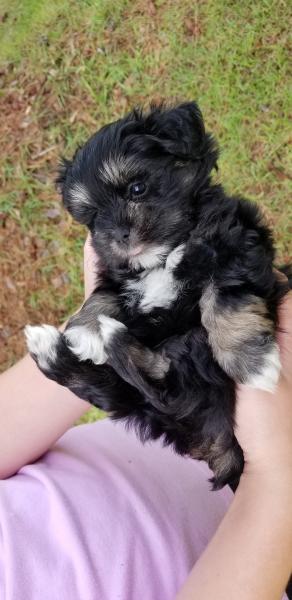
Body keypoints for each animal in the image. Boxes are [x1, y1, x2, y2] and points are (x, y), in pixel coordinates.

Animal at [25, 102, 290, 488]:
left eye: (137, 188)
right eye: (93, 215)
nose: (119, 235)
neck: (161, 258)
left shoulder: (235, 239)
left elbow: (225, 296)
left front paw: (250, 360)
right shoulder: (115, 272)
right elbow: (103, 295)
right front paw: (83, 329)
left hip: (197, 361)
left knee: (168, 383)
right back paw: (57, 345)